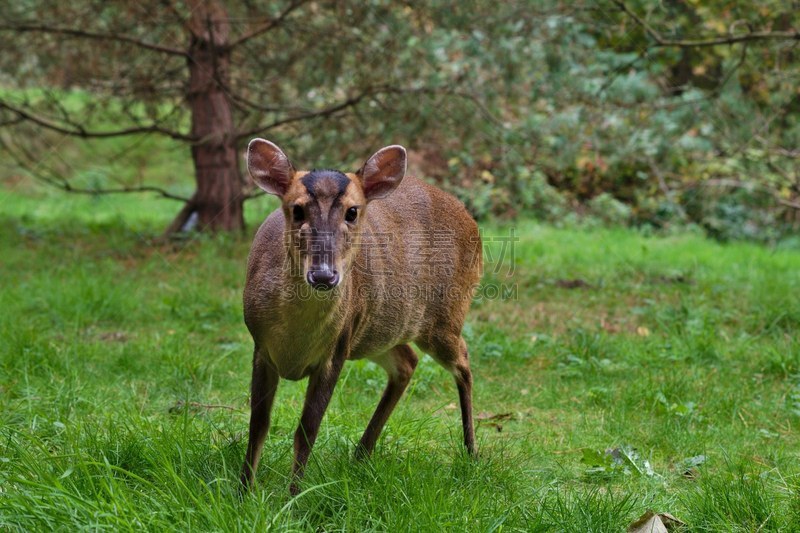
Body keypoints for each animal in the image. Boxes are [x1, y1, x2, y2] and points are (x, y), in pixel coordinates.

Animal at [239, 139, 482, 492]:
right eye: (296, 209)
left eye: (352, 212)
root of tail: (469, 217)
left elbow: (307, 429)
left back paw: (471, 452)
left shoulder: (336, 348)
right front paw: (243, 491)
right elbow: (258, 424)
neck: (294, 338)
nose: (324, 275)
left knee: (462, 360)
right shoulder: (261, 346)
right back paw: (361, 453)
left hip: (443, 317)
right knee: (407, 362)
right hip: (375, 332)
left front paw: (293, 495)